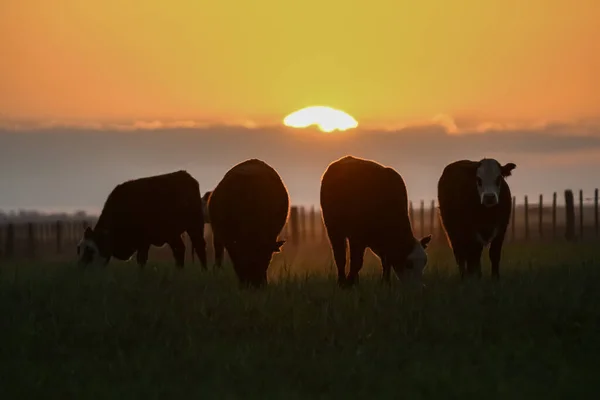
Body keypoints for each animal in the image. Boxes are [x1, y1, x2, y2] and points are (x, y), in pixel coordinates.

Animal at [76, 170, 207, 270]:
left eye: (90, 250)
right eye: (79, 249)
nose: (81, 268)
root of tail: (184, 174)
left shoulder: (144, 241)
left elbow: (141, 260)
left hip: (195, 224)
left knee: (199, 246)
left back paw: (204, 271)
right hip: (172, 233)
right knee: (179, 249)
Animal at [318, 155, 432, 288]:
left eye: (424, 263)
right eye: (408, 263)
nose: (420, 287)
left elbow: (386, 261)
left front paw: (385, 282)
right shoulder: (357, 236)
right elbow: (357, 262)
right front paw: (349, 284)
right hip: (333, 229)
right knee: (340, 256)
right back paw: (342, 281)